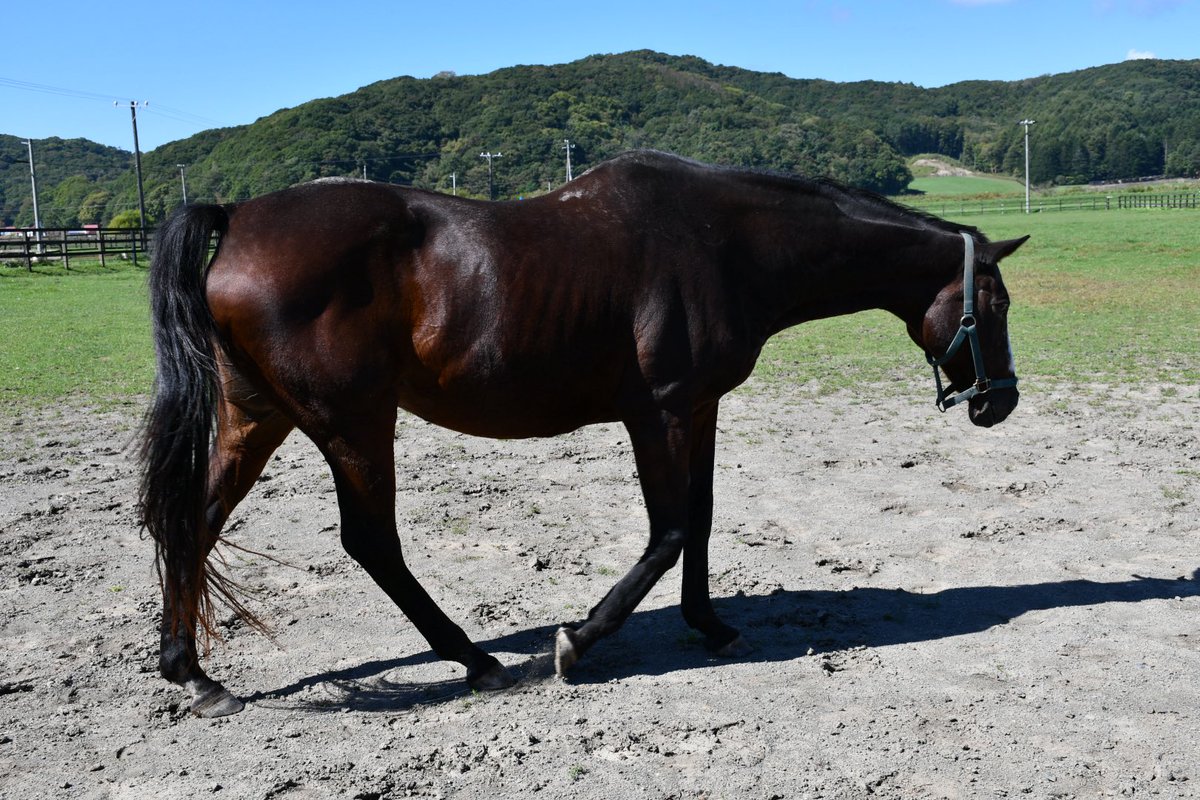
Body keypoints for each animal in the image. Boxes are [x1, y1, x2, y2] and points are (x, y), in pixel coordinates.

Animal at [139, 150, 1026, 717]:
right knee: (372, 543)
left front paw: (709, 625)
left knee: (195, 522)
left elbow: (700, 520)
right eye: (998, 303)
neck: (727, 242)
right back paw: (479, 662)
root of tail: (239, 219)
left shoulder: (697, 407)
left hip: (261, 419)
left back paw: (194, 676)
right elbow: (668, 531)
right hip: (352, 424)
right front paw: (578, 642)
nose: (1001, 402)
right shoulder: (657, 411)